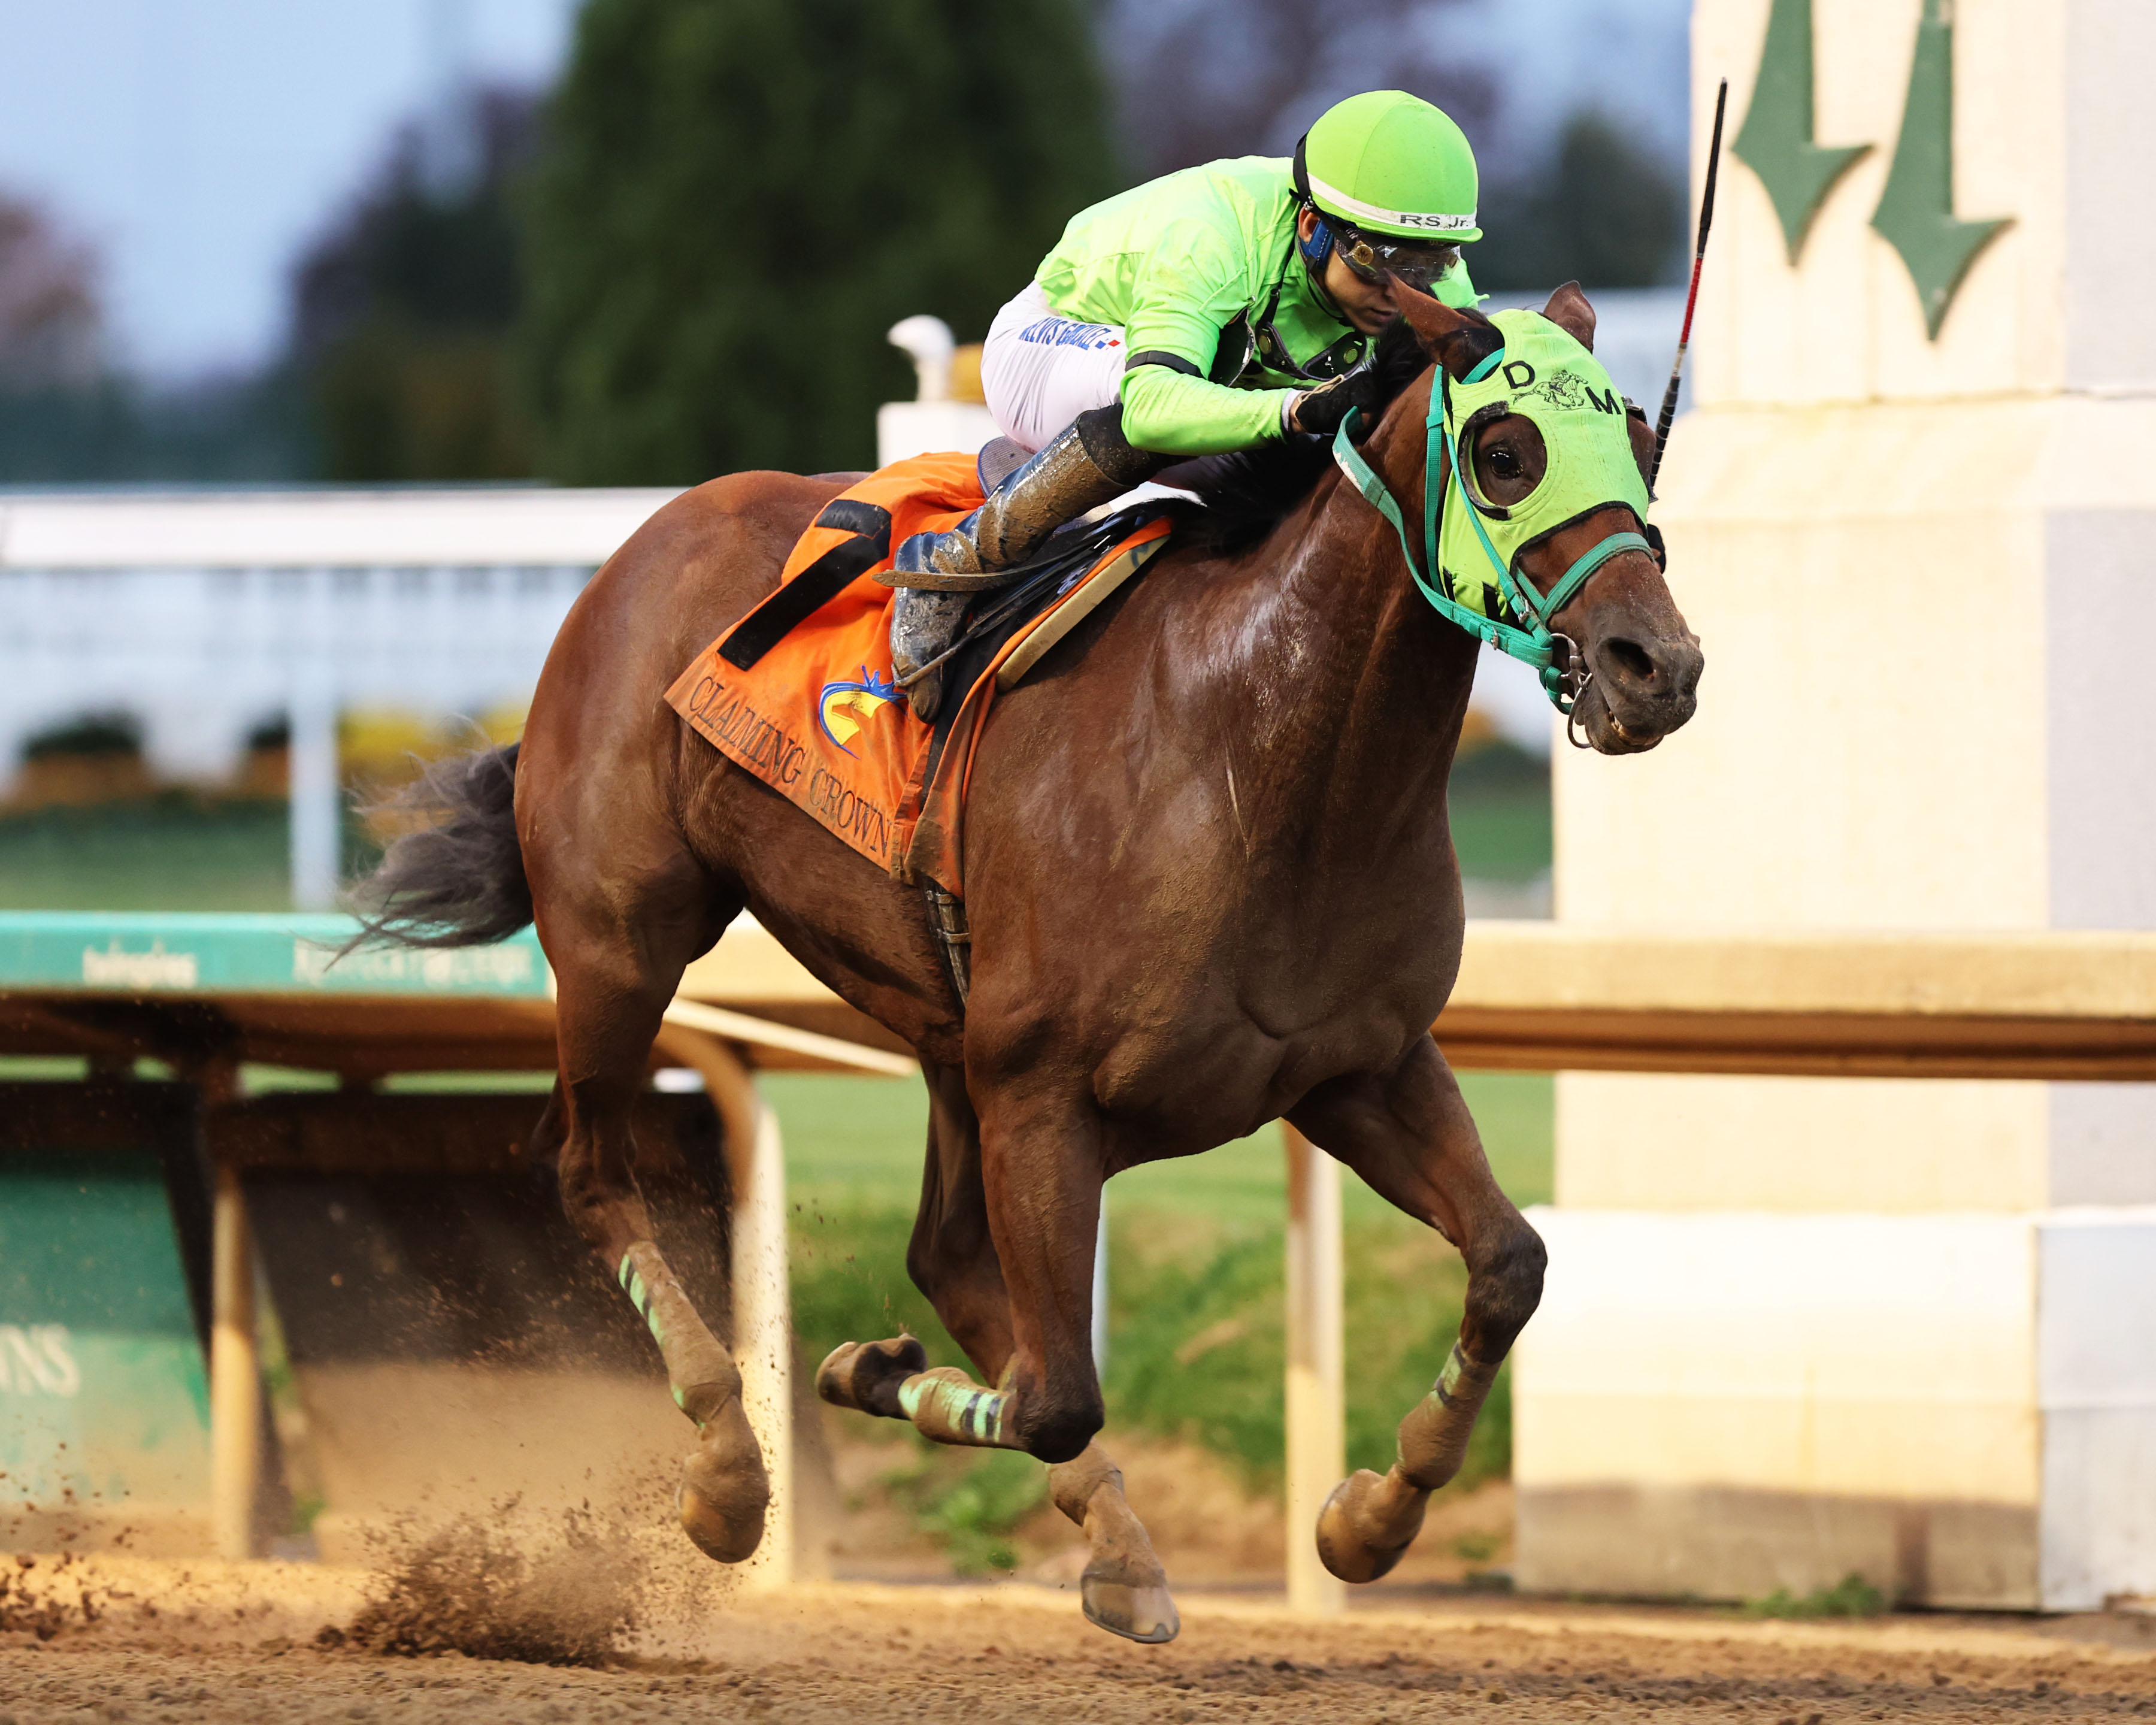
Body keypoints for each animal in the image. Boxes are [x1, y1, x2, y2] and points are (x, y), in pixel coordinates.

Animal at [351, 282, 1703, 1642]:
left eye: (1642, 438)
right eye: (1505, 452)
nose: (1658, 667)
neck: (1264, 758)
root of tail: (645, 543)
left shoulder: (1354, 1067)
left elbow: (1510, 1266)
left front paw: (1371, 1519)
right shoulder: (1046, 1092)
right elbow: (1057, 1394)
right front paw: (863, 1367)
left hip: (947, 1032)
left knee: (942, 1250)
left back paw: (1110, 1543)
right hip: (624, 937)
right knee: (590, 1168)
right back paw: (732, 1472)